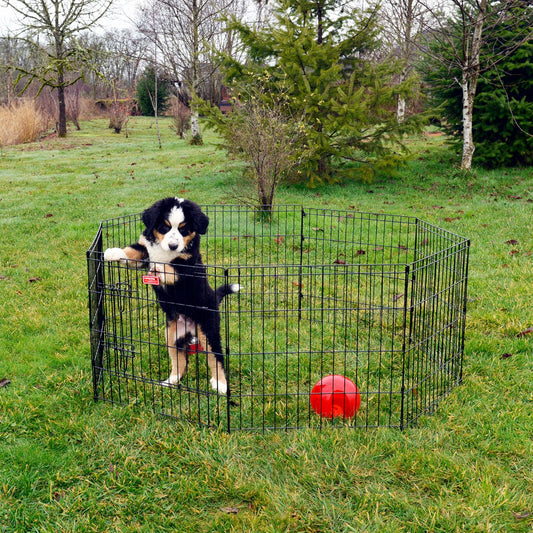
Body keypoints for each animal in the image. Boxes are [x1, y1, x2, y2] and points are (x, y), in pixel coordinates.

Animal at [102, 197, 239, 392]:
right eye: (164, 227)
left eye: (184, 229)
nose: (173, 245)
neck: (164, 252)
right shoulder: (145, 250)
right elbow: (132, 251)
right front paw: (113, 252)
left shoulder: (187, 264)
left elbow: (171, 267)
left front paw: (159, 268)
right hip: (172, 336)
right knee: (180, 362)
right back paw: (170, 381)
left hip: (208, 330)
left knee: (216, 357)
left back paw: (220, 385)